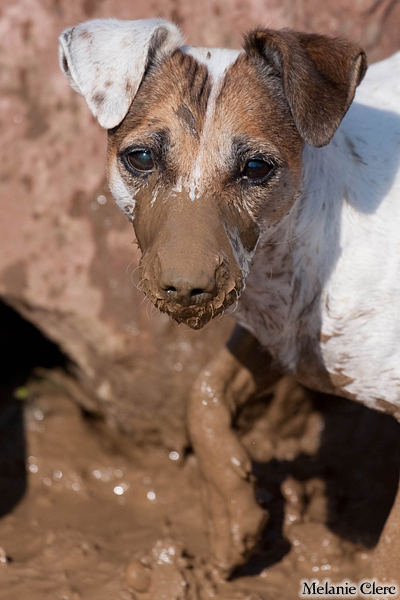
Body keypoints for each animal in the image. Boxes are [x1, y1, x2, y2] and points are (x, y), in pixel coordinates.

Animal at [59, 18, 400, 583]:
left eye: (257, 168)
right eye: (141, 157)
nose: (185, 287)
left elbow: (392, 545)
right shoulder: (275, 336)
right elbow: (204, 394)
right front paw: (232, 518)